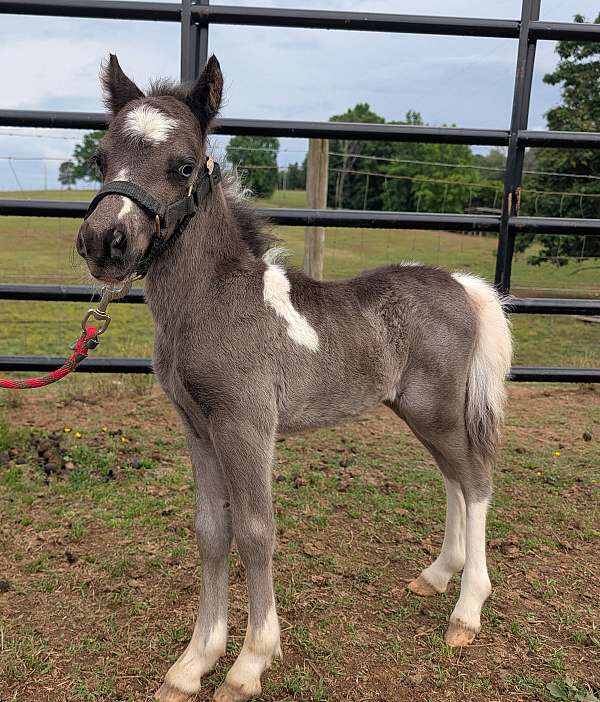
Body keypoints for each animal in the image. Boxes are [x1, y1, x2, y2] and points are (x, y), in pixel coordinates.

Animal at [76, 54, 512, 702]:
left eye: (184, 165)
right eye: (102, 158)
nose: (105, 242)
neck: (216, 302)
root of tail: (462, 284)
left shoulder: (247, 426)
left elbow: (256, 530)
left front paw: (249, 662)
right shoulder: (197, 428)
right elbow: (212, 530)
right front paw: (193, 663)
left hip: (436, 409)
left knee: (476, 480)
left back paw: (466, 611)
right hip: (420, 411)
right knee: (454, 479)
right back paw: (438, 575)